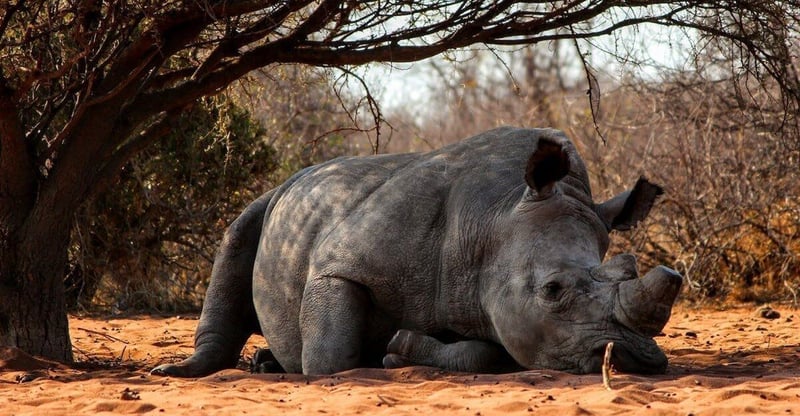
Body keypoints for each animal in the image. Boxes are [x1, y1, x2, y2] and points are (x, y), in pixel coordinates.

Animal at [152, 127, 682, 377]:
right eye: (553, 290)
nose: (630, 357)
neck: (494, 219)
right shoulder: (340, 265)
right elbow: (330, 359)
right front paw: (378, 357)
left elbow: (484, 353)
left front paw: (397, 352)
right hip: (271, 200)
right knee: (236, 237)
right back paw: (183, 371)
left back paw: (266, 364)